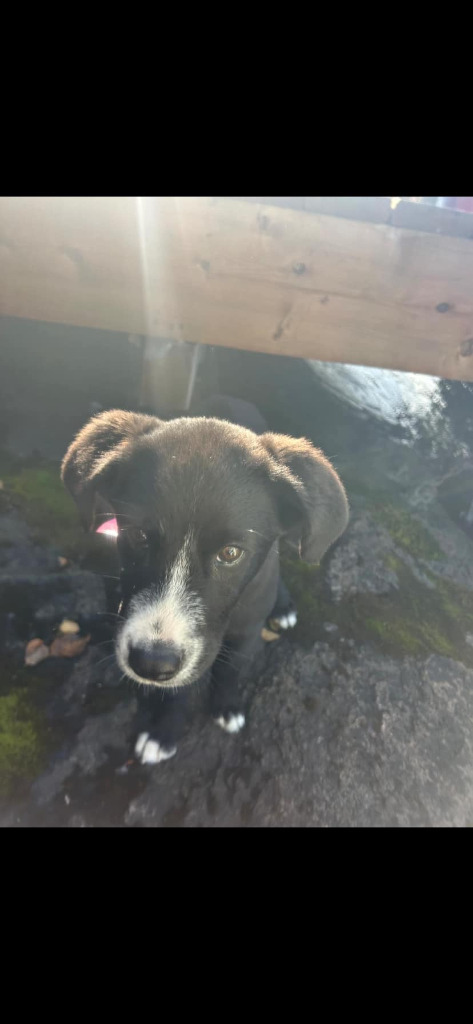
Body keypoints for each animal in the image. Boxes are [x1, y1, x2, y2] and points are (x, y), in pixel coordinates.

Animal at [61, 407, 348, 761]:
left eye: (231, 553)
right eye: (138, 535)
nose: (150, 664)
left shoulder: (246, 630)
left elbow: (230, 670)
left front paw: (226, 707)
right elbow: (178, 689)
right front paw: (164, 731)